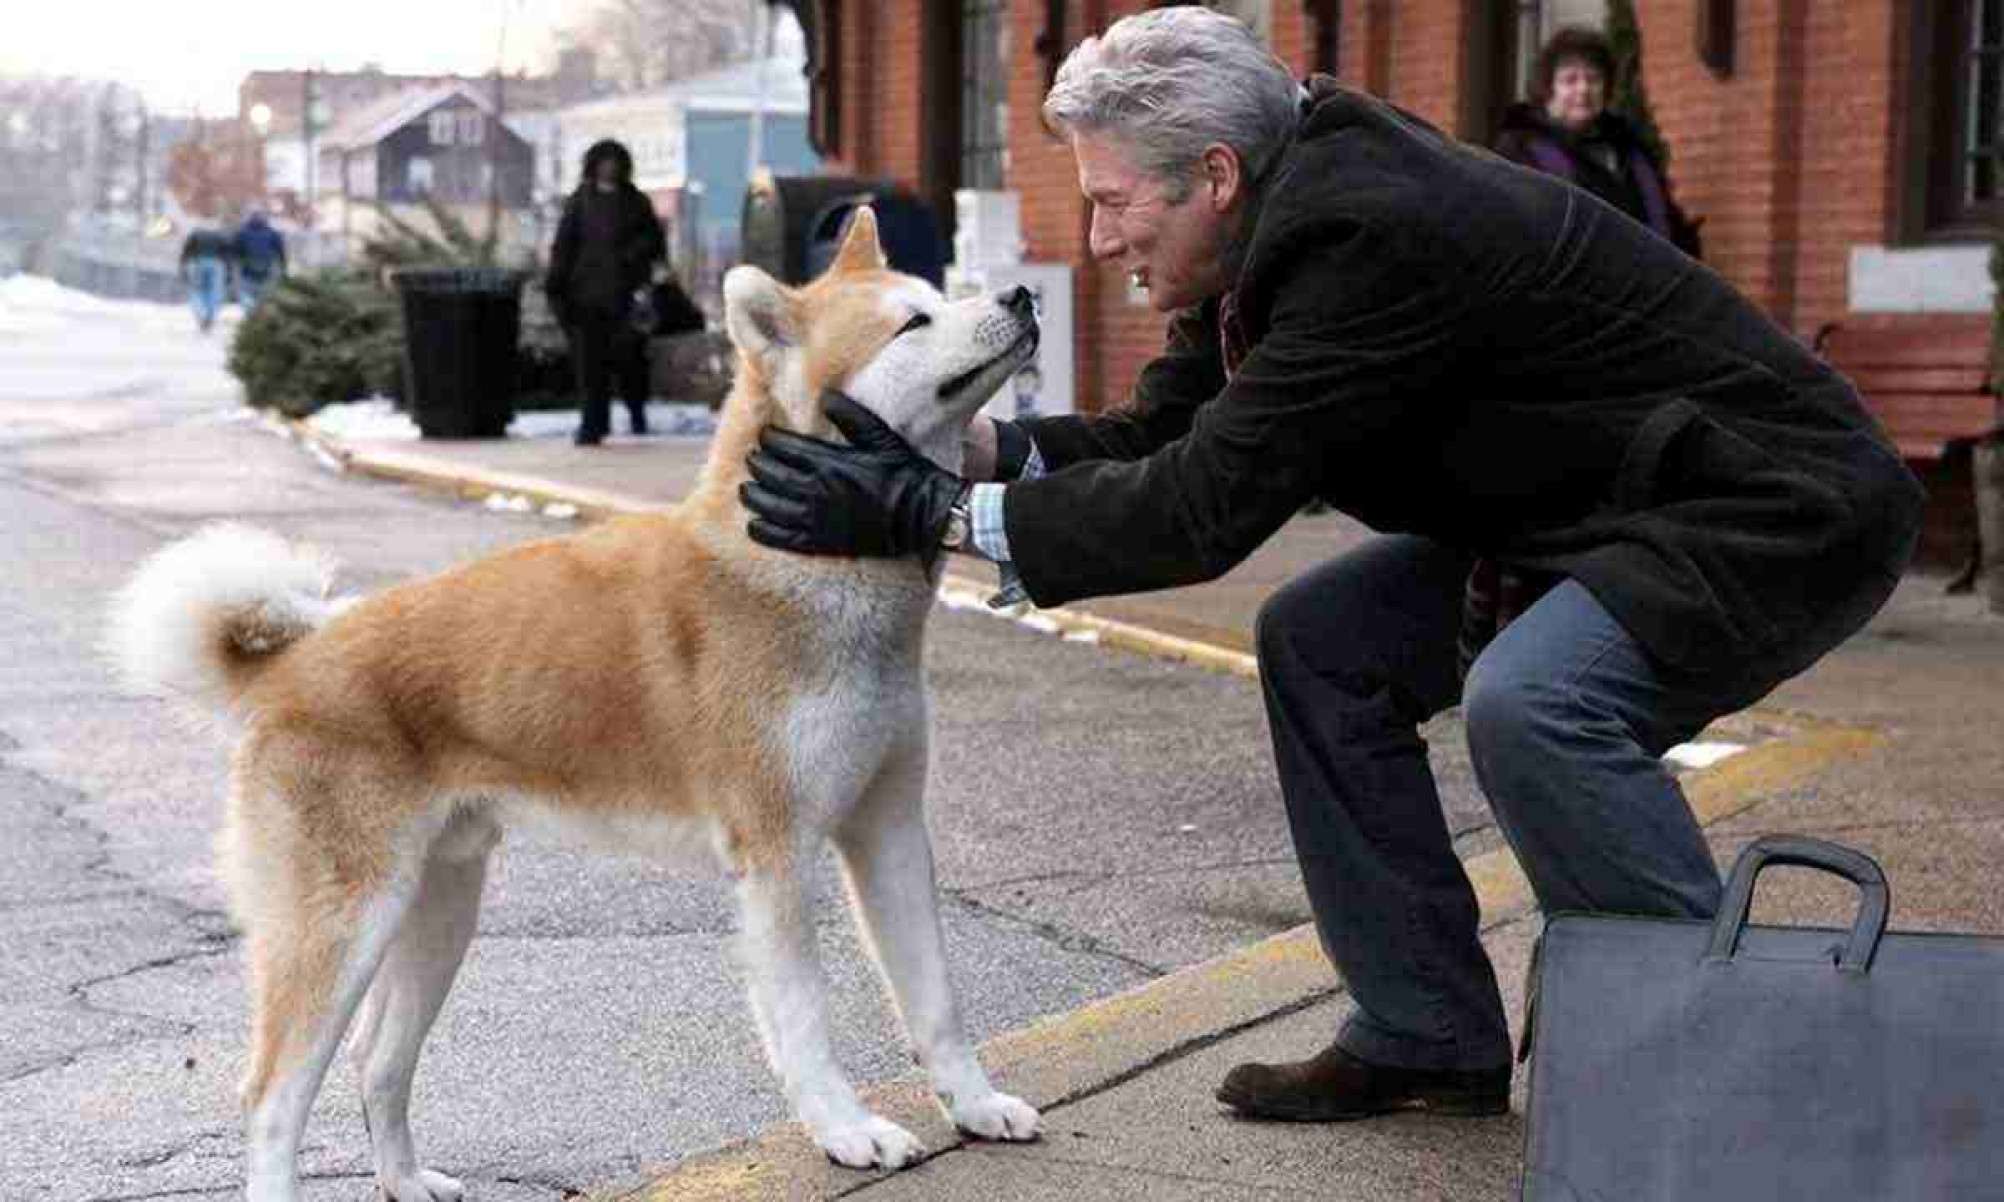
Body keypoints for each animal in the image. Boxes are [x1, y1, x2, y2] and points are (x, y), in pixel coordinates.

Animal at [107, 211, 1042, 1193]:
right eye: (912, 323)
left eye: (940, 296)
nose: (1021, 295)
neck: (802, 564)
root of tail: (294, 664)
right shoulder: (778, 856)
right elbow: (807, 1022)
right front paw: (846, 1129)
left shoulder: (889, 829)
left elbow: (937, 1002)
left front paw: (976, 1107)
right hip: (341, 929)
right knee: (273, 1102)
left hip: (438, 913)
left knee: (378, 1065)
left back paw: (407, 1182)